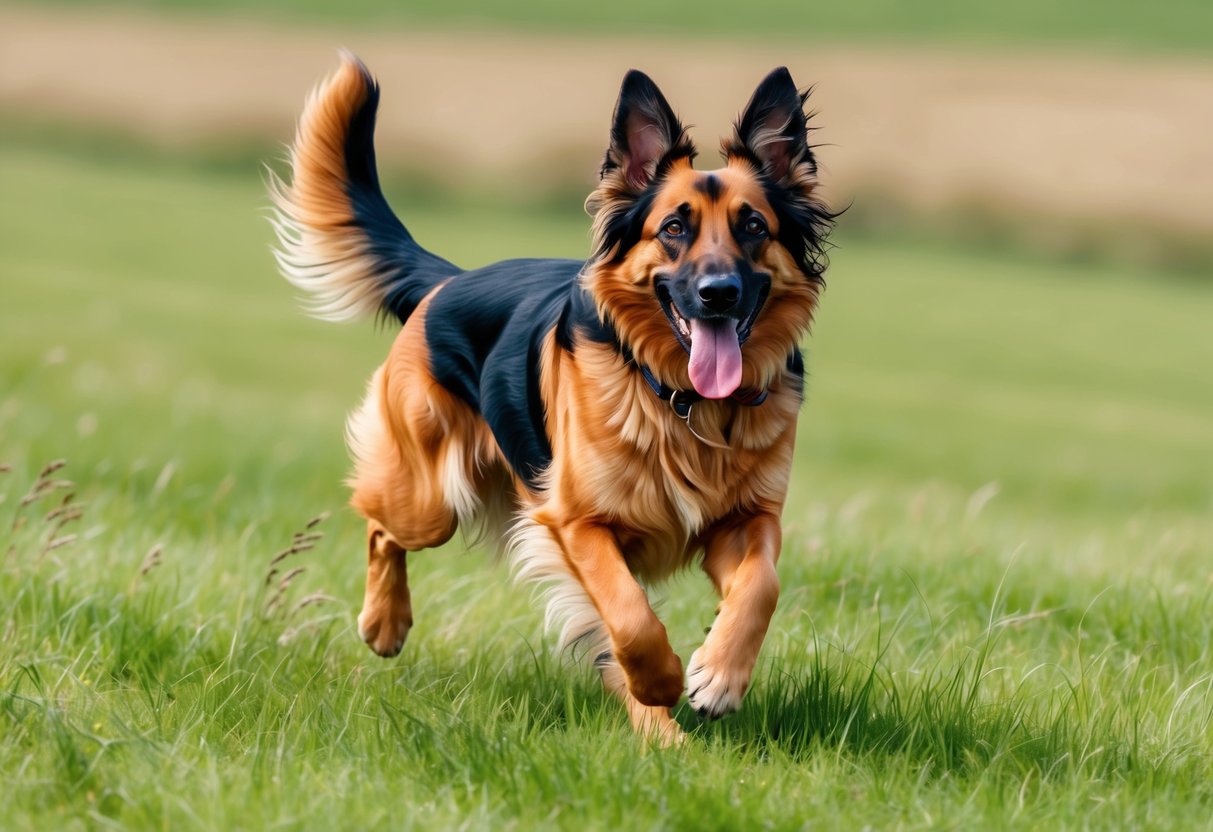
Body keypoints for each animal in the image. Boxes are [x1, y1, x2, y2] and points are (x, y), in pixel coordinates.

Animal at [270, 55, 834, 747]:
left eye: (754, 227)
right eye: (673, 228)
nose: (719, 293)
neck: (680, 400)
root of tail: (450, 279)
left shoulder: (748, 521)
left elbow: (761, 587)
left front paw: (718, 677)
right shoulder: (576, 522)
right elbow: (631, 617)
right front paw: (663, 681)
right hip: (429, 500)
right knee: (379, 524)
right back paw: (385, 622)